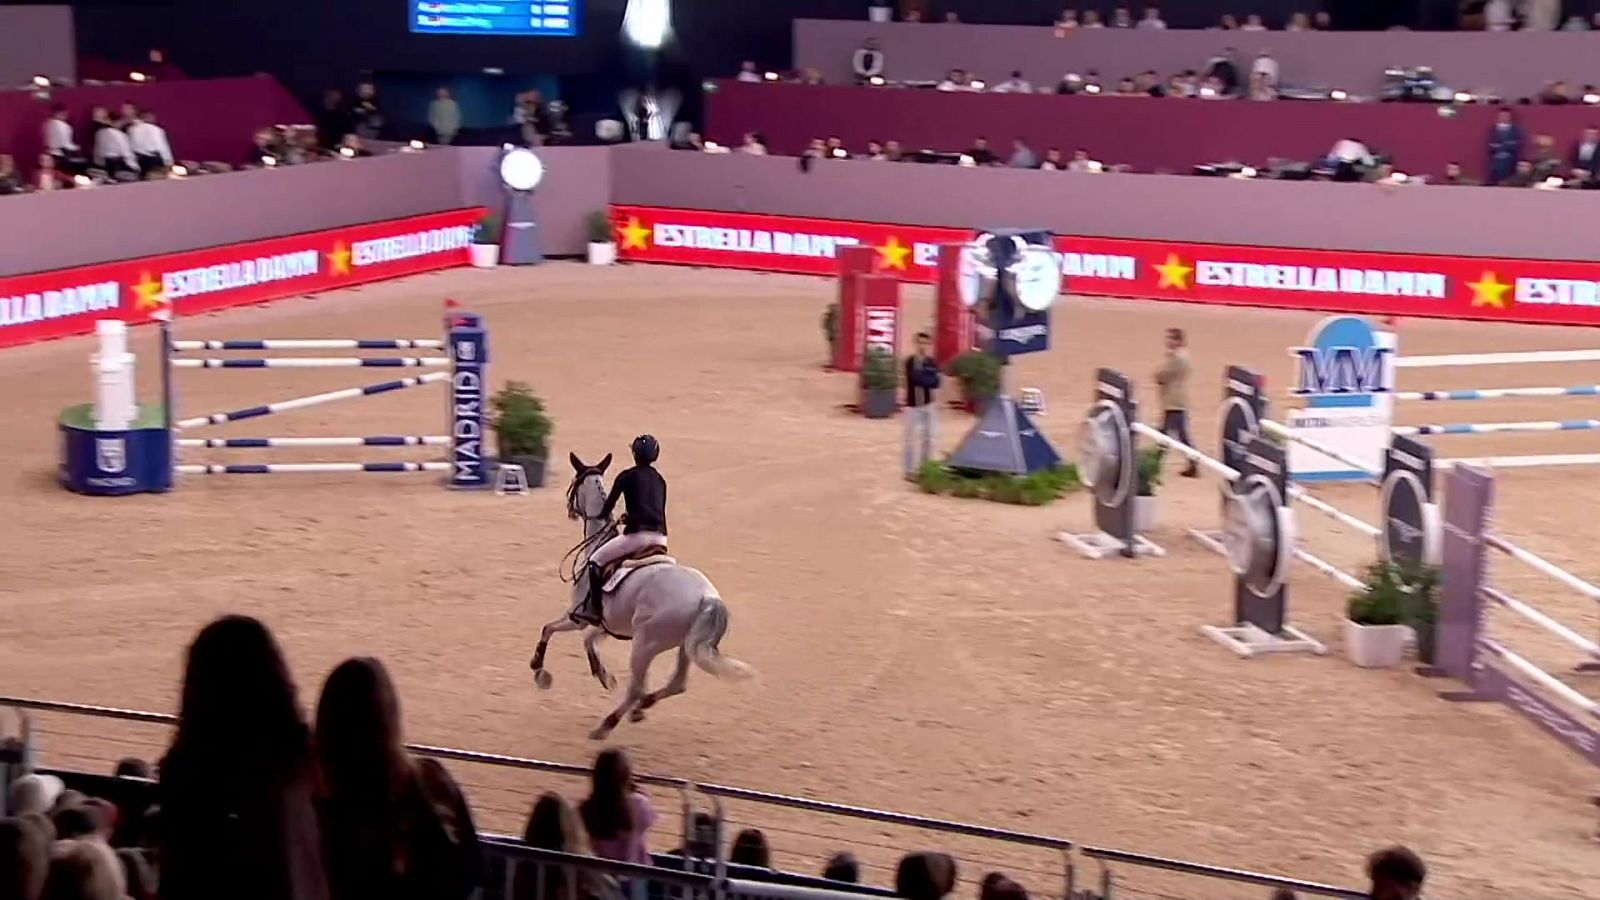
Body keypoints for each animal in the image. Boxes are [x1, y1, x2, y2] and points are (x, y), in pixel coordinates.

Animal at [529, 452, 752, 740]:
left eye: (573, 484)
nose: (569, 510)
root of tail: (708, 598)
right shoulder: (609, 624)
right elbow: (590, 642)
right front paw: (604, 675)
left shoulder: (577, 617)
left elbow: (548, 629)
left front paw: (539, 672)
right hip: (683, 645)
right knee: (676, 683)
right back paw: (641, 706)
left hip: (646, 643)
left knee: (637, 685)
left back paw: (606, 725)